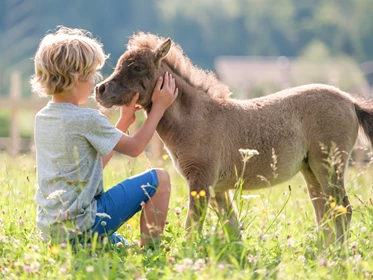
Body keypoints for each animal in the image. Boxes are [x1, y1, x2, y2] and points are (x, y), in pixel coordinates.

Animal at [93, 32, 373, 243]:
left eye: (137, 67)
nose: (100, 90)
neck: (197, 119)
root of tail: (351, 102)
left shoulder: (201, 181)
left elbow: (193, 226)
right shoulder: (219, 187)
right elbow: (233, 229)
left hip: (329, 165)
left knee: (343, 210)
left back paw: (338, 256)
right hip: (311, 170)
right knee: (325, 212)